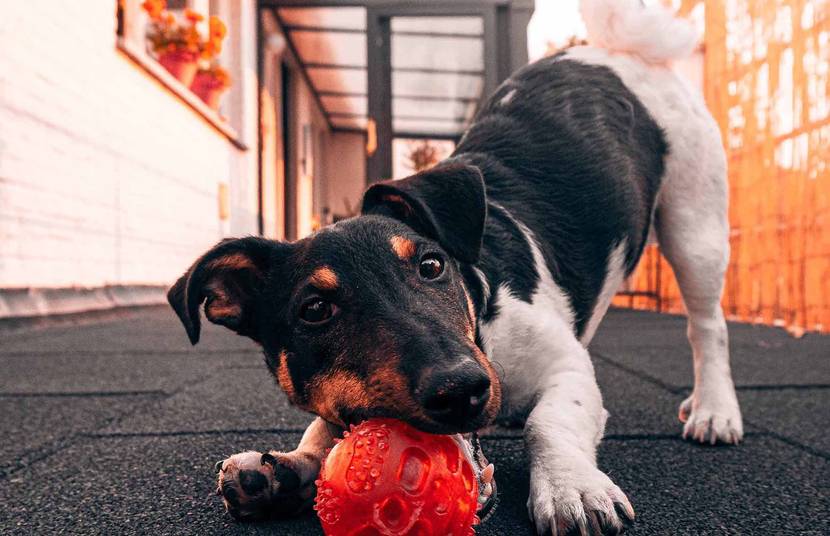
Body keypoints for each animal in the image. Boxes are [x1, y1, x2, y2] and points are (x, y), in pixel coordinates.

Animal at [169, 2, 748, 532]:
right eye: (314, 309)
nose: (461, 388)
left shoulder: (566, 368)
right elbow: (323, 430)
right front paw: (287, 468)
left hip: (695, 227)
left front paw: (571, 487)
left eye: (431, 266)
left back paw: (713, 409)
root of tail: (619, 51)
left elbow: (548, 422)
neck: (482, 315)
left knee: (708, 326)